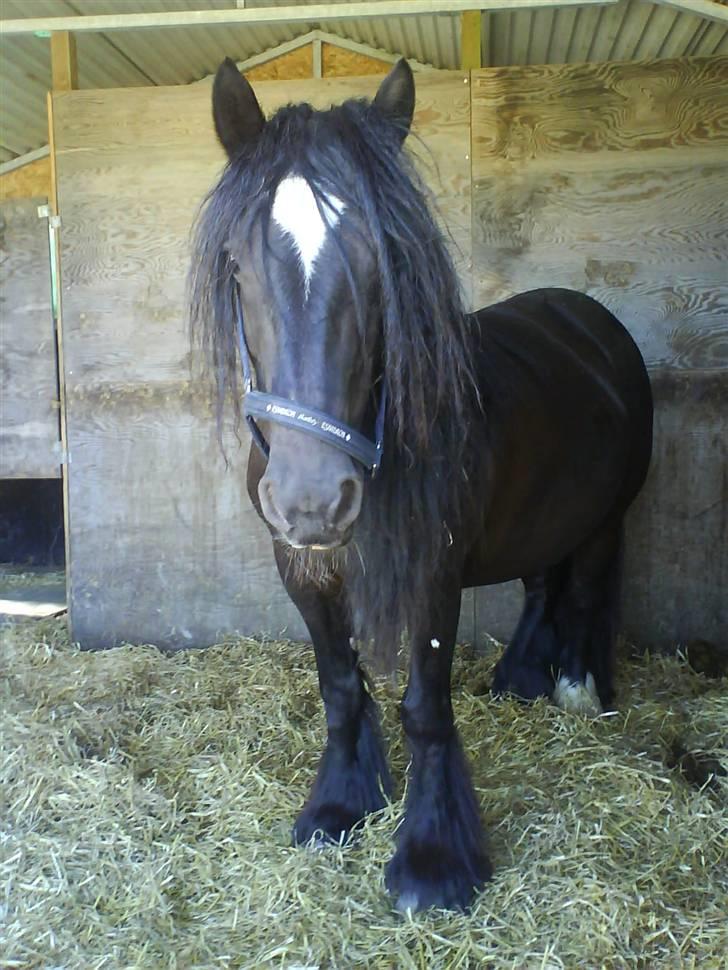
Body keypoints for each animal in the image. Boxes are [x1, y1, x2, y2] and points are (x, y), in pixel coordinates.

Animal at [189, 58, 656, 908]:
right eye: (239, 266)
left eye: (381, 265)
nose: (314, 500)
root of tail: (590, 322)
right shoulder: (302, 566)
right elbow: (342, 686)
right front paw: (339, 806)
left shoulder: (433, 569)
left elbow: (424, 706)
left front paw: (434, 858)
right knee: (543, 583)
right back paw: (519, 678)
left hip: (607, 519)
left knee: (584, 588)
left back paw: (576, 689)